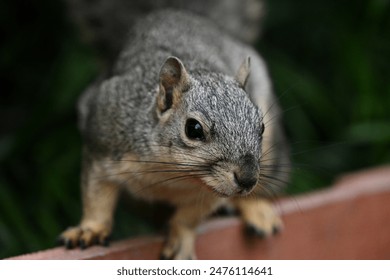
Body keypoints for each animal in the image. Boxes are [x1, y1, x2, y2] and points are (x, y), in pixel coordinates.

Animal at [58, 3, 290, 260]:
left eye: (261, 126)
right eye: (193, 129)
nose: (248, 179)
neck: (173, 173)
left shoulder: (212, 192)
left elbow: (190, 218)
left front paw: (181, 241)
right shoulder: (102, 140)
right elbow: (97, 195)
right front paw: (91, 229)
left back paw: (255, 209)